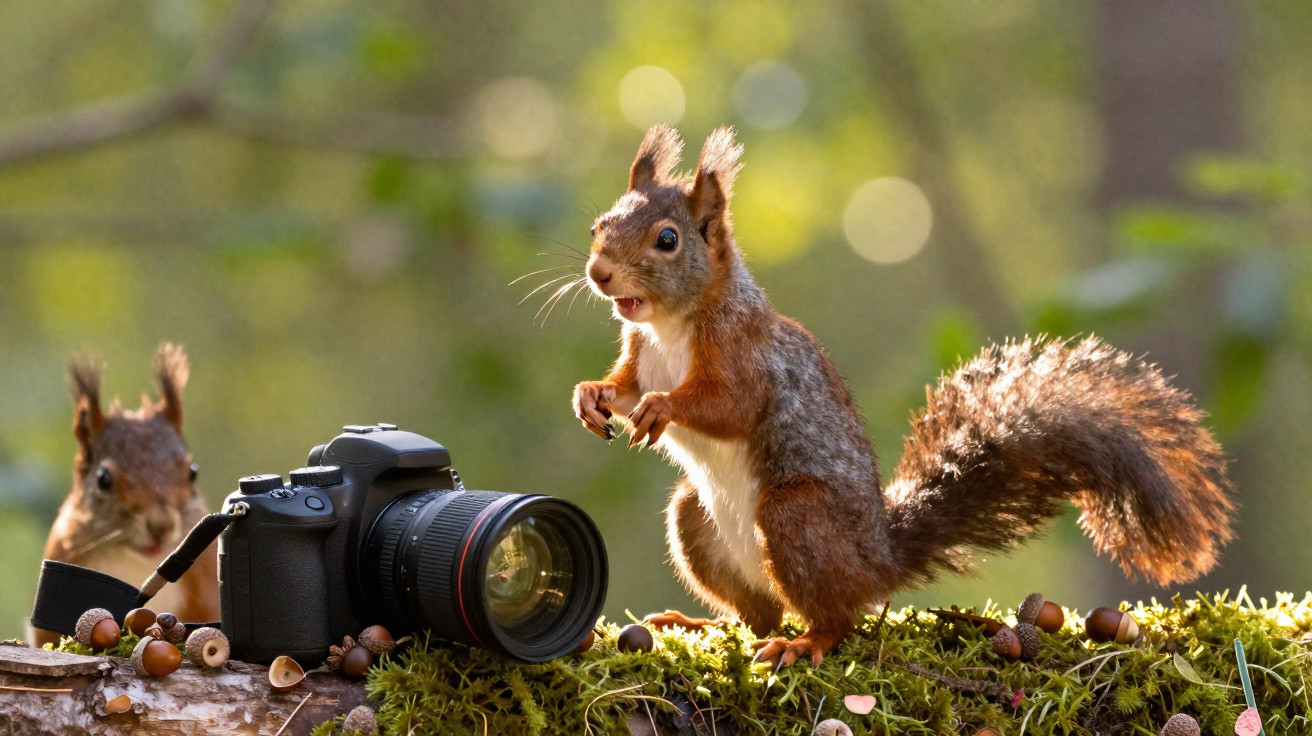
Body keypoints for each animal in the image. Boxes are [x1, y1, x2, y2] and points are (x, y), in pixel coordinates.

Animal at [571, 125, 1236, 667]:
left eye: (667, 239)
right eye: (598, 225)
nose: (600, 274)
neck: (668, 325)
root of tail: (880, 559)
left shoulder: (746, 356)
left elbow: (728, 405)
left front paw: (665, 407)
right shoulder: (640, 356)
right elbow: (624, 387)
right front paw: (589, 395)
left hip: (795, 518)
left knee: (834, 617)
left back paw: (804, 643)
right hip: (696, 522)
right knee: (758, 613)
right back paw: (698, 623)